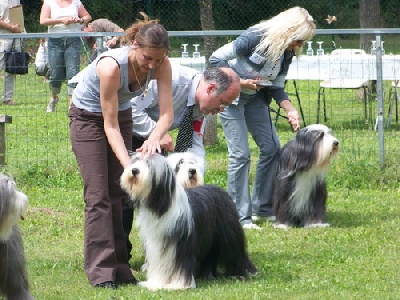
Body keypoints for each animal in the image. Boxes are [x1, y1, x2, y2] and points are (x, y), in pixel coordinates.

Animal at [120, 154, 256, 290]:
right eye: (135, 161)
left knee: (235, 253)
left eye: (149, 164)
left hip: (229, 235)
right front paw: (156, 283)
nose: (134, 170)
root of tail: (221, 190)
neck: (161, 206)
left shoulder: (181, 243)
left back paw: (242, 272)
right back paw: (207, 274)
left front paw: (179, 284)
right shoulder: (157, 243)